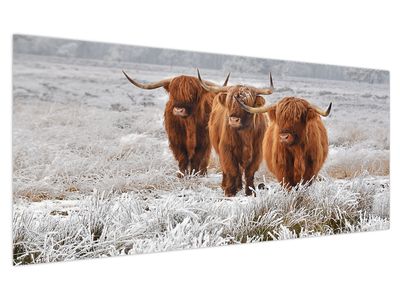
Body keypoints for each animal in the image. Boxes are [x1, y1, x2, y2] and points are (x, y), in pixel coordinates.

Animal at [198, 69, 276, 197]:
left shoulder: (257, 153)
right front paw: (230, 191)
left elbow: (249, 172)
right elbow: (232, 170)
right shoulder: (226, 149)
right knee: (228, 169)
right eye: (229, 101)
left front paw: (250, 191)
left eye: (246, 103)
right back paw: (227, 185)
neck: (245, 134)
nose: (234, 120)